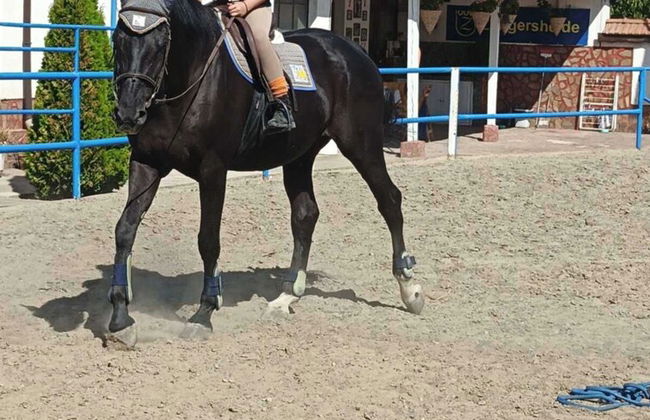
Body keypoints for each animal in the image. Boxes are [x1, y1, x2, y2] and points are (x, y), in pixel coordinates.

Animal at [109, 0, 424, 345]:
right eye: (118, 39)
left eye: (162, 41)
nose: (129, 113)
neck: (190, 80)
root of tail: (355, 52)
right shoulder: (147, 162)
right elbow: (125, 229)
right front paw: (120, 319)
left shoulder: (213, 169)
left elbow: (208, 240)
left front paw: (204, 313)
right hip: (299, 156)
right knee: (305, 214)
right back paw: (286, 297)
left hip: (360, 144)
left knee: (389, 200)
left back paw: (410, 288)